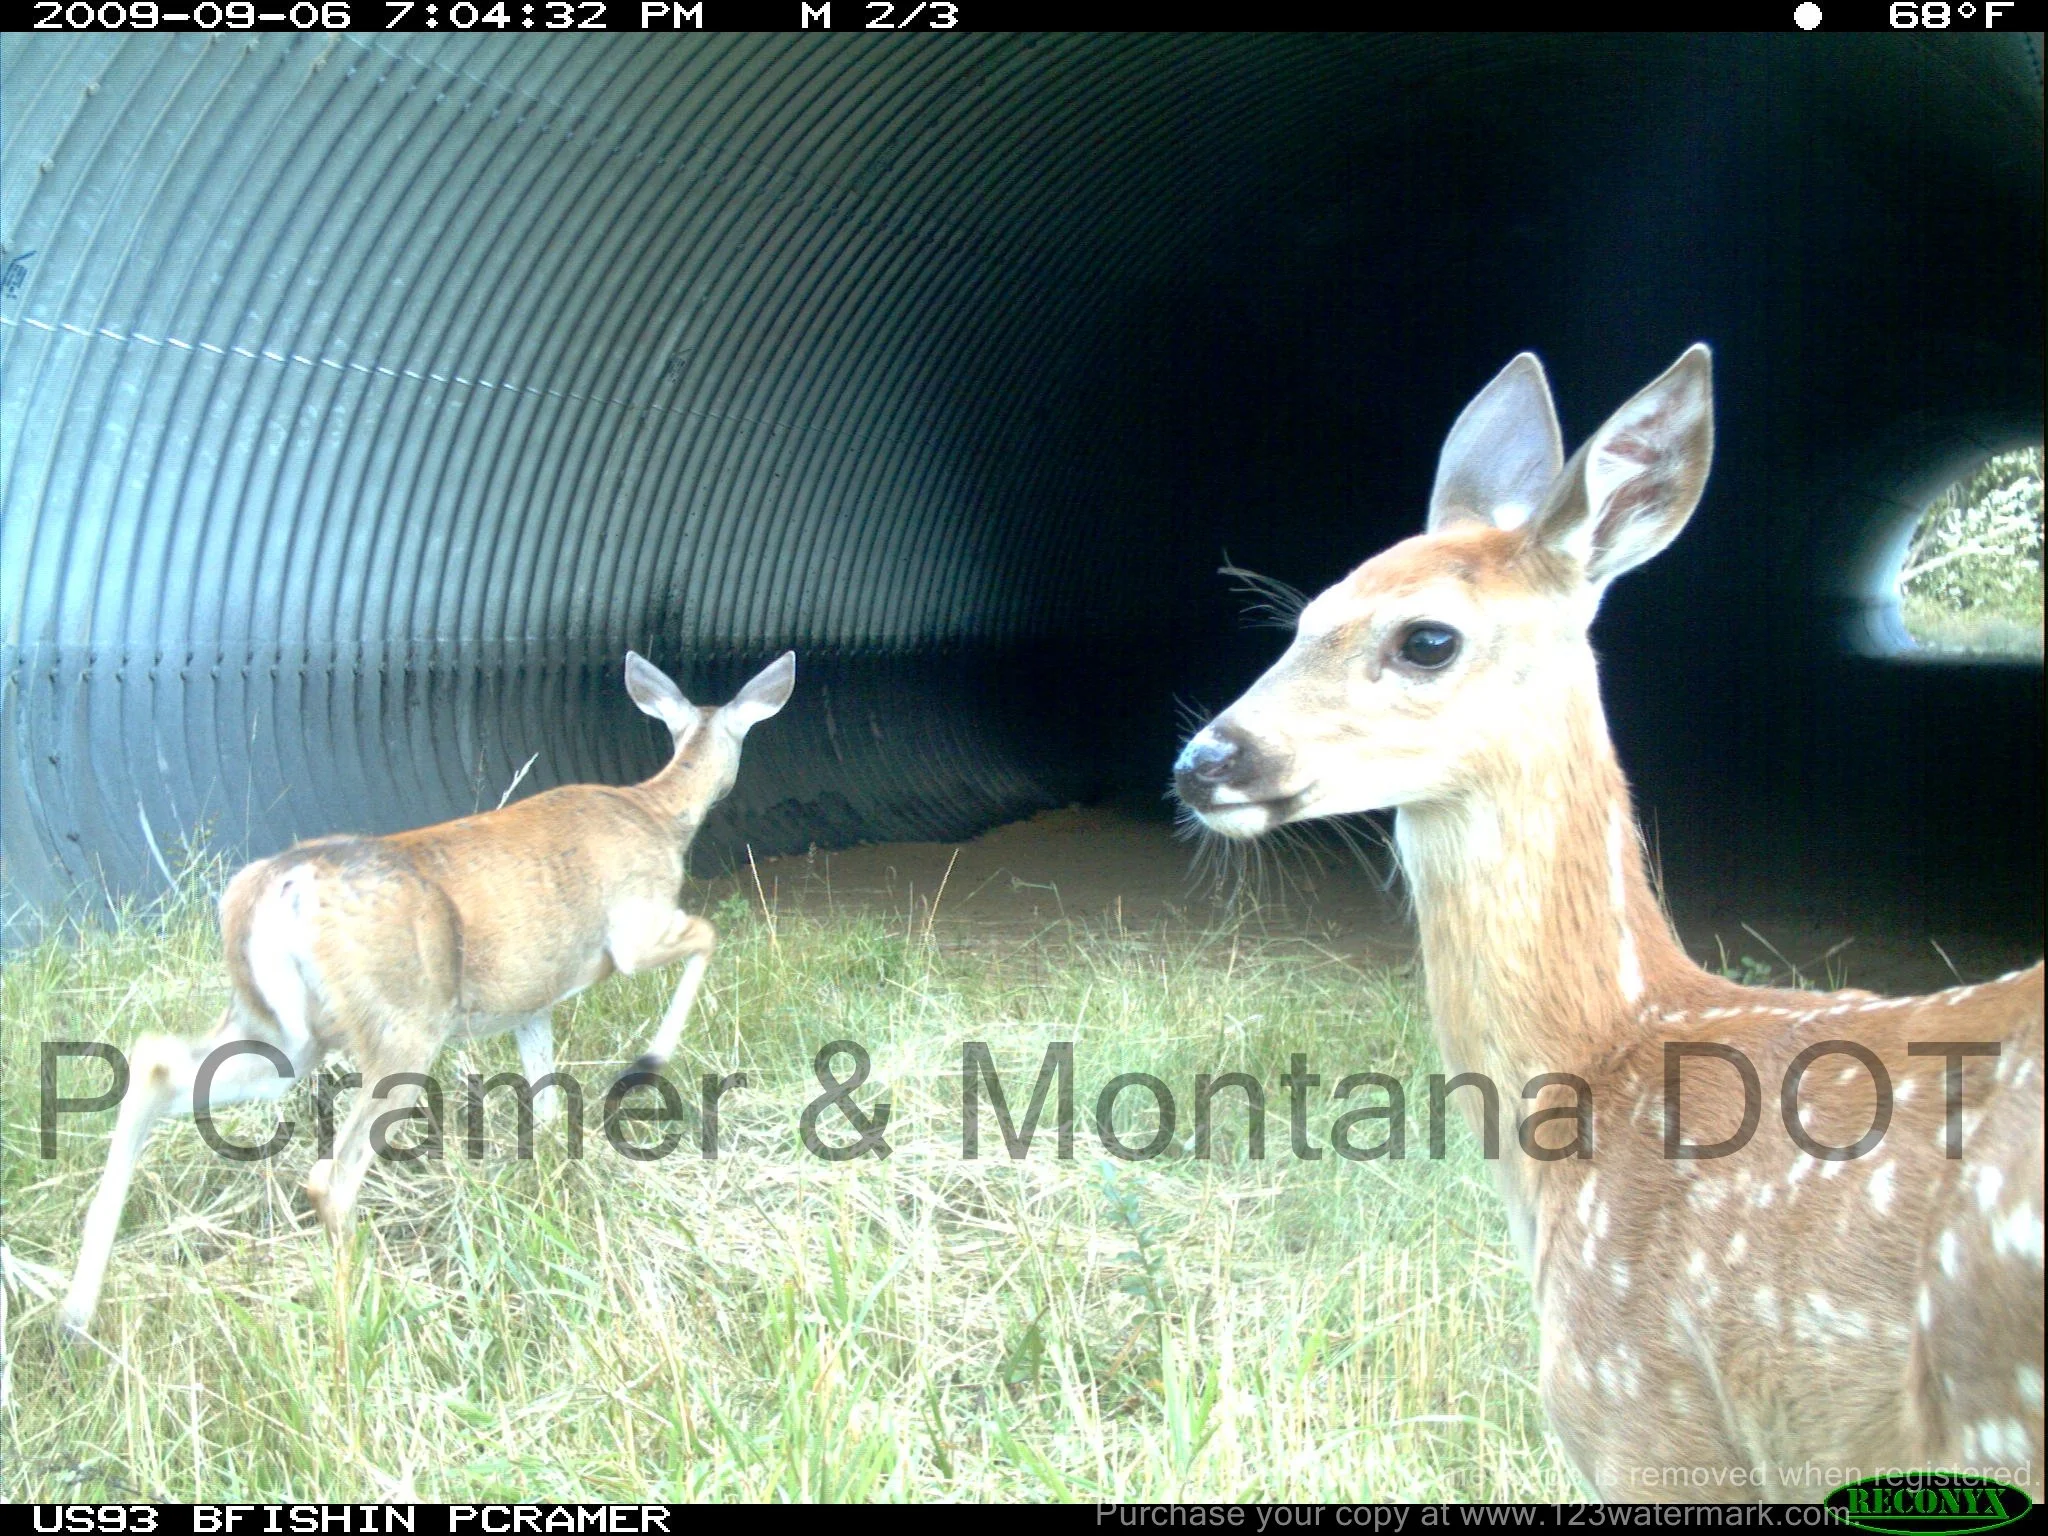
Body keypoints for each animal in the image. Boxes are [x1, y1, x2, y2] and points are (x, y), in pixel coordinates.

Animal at [58, 649, 795, 1336]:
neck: (657, 811)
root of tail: (278, 886)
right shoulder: (635, 929)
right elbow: (706, 937)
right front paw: (643, 1068)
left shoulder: (531, 1001)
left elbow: (543, 1095)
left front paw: (550, 1172)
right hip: (403, 1024)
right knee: (329, 1175)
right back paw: (371, 1303)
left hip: (279, 1030)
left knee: (156, 1065)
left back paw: (76, 1312)